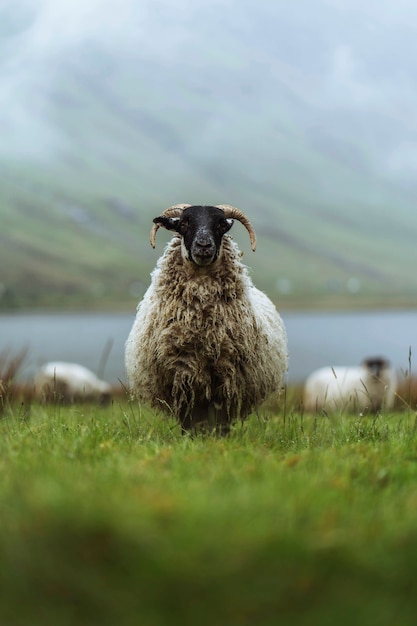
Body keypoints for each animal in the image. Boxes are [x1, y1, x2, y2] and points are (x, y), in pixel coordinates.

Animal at [123, 202, 288, 432]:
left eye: (220, 225)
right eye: (183, 224)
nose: (203, 245)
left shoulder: (226, 379)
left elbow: (221, 419)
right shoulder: (181, 378)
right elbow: (187, 420)